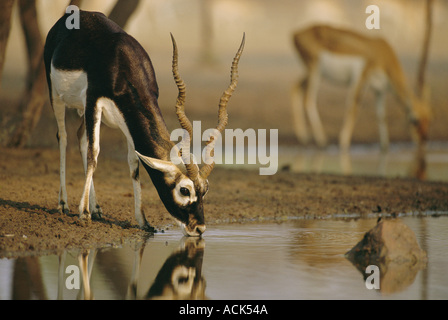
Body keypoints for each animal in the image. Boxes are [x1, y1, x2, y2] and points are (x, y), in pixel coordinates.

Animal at [44, 10, 245, 236]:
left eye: (205, 190)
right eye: (184, 190)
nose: (199, 228)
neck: (122, 63)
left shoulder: (127, 120)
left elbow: (134, 164)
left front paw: (143, 220)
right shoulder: (93, 100)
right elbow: (93, 154)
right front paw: (83, 214)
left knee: (80, 137)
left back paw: (96, 209)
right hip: (57, 96)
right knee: (63, 137)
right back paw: (64, 204)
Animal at [290, 25, 430, 151]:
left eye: (429, 119)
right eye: (415, 120)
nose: (422, 140)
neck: (383, 53)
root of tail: (296, 34)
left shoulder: (379, 90)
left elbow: (381, 115)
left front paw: (384, 147)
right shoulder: (361, 78)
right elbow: (354, 107)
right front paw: (343, 143)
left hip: (313, 73)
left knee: (295, 87)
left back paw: (303, 136)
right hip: (315, 71)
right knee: (308, 99)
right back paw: (321, 140)